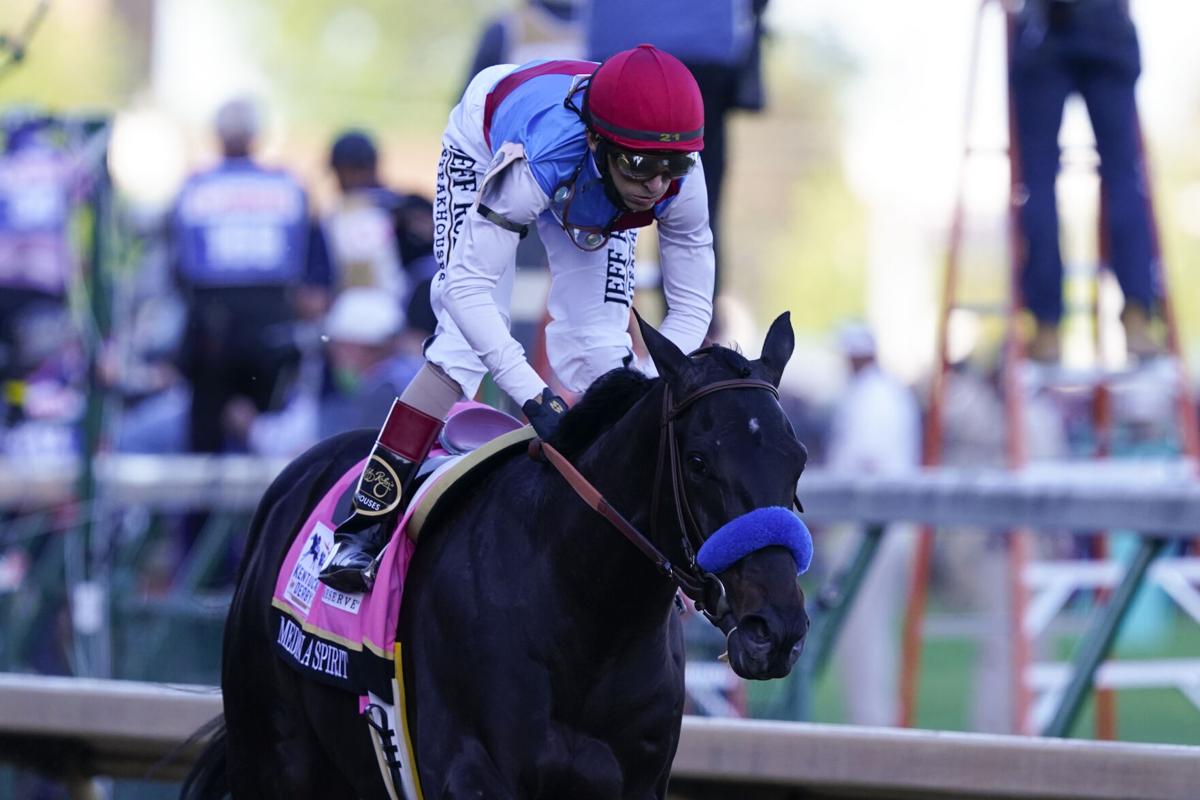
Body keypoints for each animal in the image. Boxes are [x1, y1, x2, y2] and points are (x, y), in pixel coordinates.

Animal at [181, 311, 811, 799]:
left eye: (798, 458)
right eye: (699, 460)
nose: (774, 631)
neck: (585, 616)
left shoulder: (635, 782)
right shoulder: (471, 773)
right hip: (274, 755)